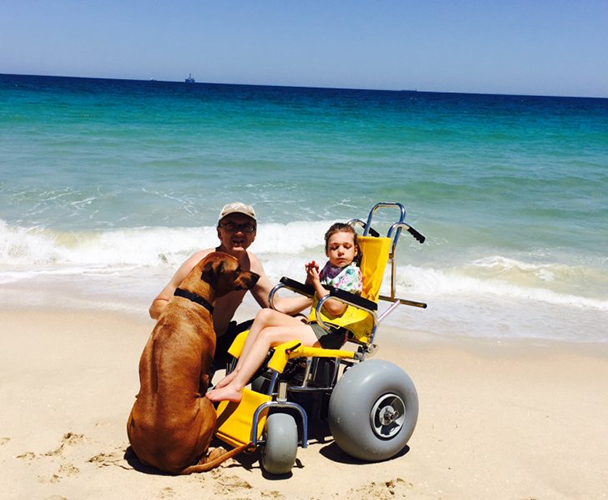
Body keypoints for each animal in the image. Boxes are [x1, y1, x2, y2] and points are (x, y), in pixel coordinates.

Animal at [127, 252, 260, 474]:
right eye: (238, 269)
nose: (258, 276)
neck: (192, 296)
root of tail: (169, 466)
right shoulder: (205, 371)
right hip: (206, 405)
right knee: (203, 453)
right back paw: (216, 452)